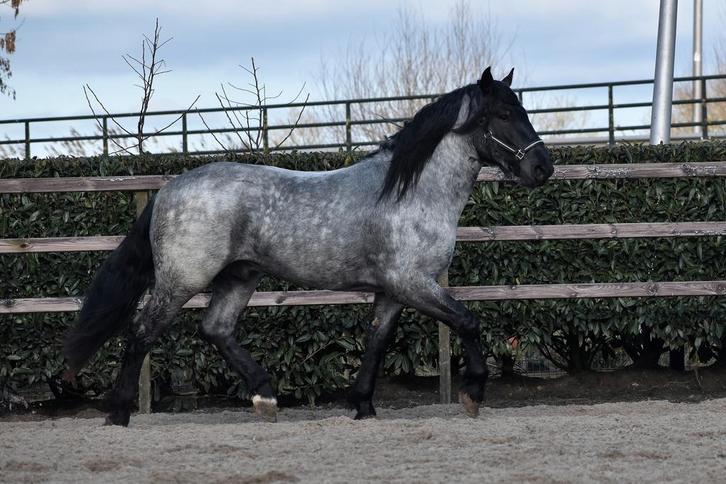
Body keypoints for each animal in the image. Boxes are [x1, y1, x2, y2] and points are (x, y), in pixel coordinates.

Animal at [62, 67, 553, 426]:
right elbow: (468, 321)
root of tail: (168, 189)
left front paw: (362, 406)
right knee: (142, 329)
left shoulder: (394, 290)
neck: (411, 192)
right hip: (183, 278)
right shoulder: (413, 283)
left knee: (215, 328)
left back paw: (265, 398)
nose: (542, 167)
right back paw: (119, 413)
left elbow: (377, 342)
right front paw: (473, 394)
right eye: (504, 115)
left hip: (240, 275)